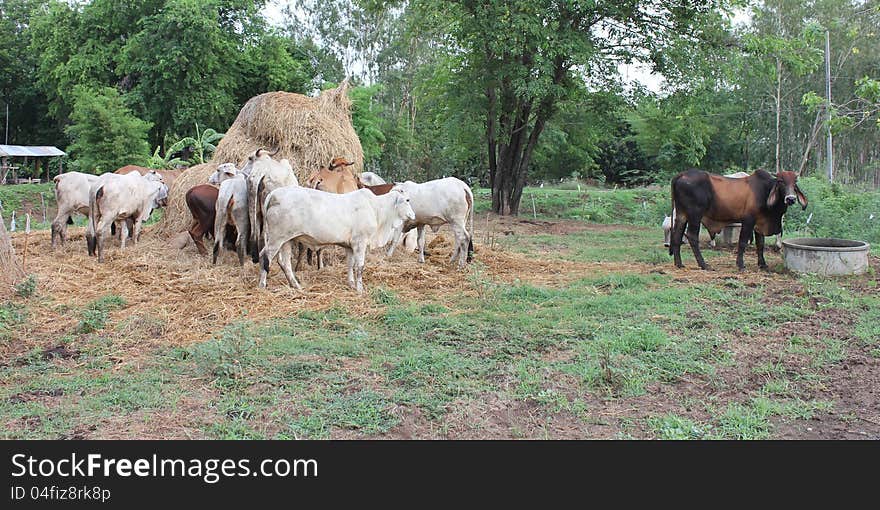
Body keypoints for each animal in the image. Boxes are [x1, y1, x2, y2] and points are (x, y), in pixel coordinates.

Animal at [258, 187, 416, 292]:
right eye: (407, 200)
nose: (413, 215)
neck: (376, 209)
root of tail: (274, 194)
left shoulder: (350, 246)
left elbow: (350, 265)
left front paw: (351, 283)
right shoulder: (360, 242)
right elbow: (360, 266)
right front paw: (360, 289)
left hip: (286, 240)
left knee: (284, 262)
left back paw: (295, 285)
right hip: (276, 239)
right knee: (265, 256)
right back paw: (262, 285)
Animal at [672, 168, 808, 272]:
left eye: (795, 182)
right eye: (781, 181)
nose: (791, 199)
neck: (765, 191)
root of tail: (681, 174)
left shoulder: (759, 223)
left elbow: (760, 244)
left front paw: (763, 264)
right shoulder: (748, 221)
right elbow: (742, 242)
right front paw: (741, 265)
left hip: (681, 215)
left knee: (677, 236)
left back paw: (679, 264)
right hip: (695, 215)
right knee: (692, 236)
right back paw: (703, 264)